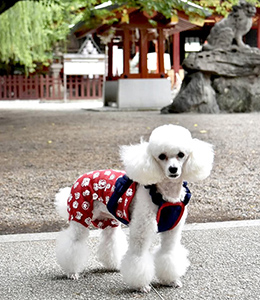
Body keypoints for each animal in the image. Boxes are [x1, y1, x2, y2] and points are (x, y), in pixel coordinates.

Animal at [54, 123, 213, 292]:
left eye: (181, 154)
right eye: (161, 156)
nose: (173, 169)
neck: (166, 195)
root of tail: (79, 179)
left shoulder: (172, 231)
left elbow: (168, 254)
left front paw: (171, 280)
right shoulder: (142, 229)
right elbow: (138, 258)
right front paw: (141, 285)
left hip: (109, 221)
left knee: (110, 241)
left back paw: (113, 265)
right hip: (80, 216)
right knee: (73, 244)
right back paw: (72, 271)